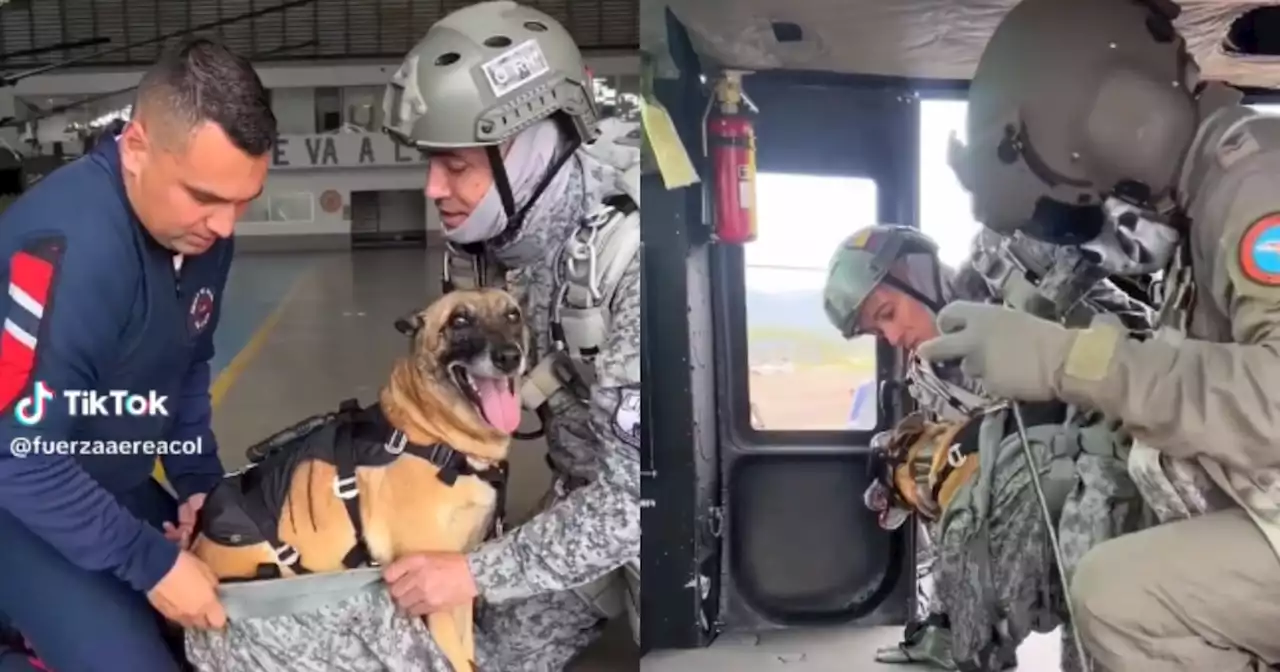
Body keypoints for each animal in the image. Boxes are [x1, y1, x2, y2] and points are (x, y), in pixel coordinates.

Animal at [190, 286, 529, 670]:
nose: (509, 356)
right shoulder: (435, 595)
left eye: (513, 315)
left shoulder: (454, 579)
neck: (437, 439)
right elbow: (454, 659)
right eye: (459, 320)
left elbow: (466, 651)